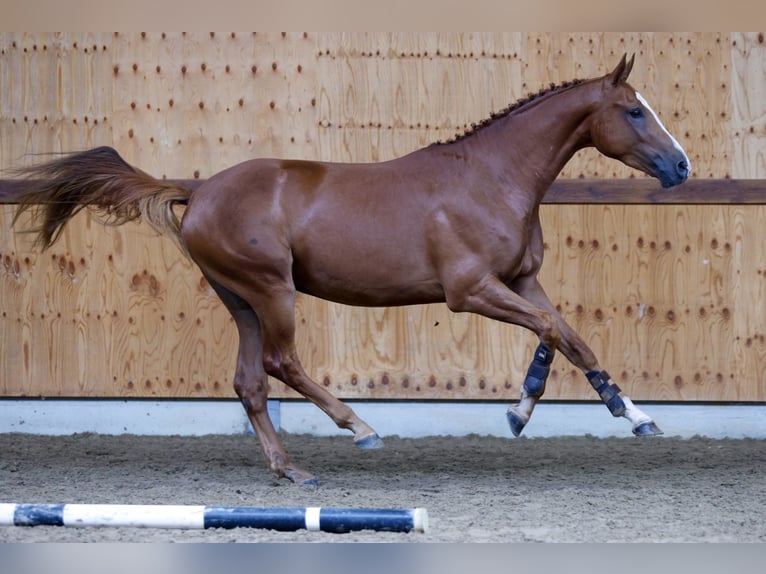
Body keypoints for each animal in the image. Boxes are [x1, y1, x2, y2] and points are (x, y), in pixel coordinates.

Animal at [15, 55, 688, 486]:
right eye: (633, 111)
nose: (680, 166)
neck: (493, 178)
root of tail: (198, 191)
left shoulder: (522, 282)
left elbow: (571, 335)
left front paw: (634, 415)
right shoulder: (471, 291)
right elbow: (550, 332)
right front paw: (520, 411)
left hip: (241, 300)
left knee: (249, 383)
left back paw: (291, 470)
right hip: (272, 289)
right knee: (280, 364)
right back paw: (360, 427)